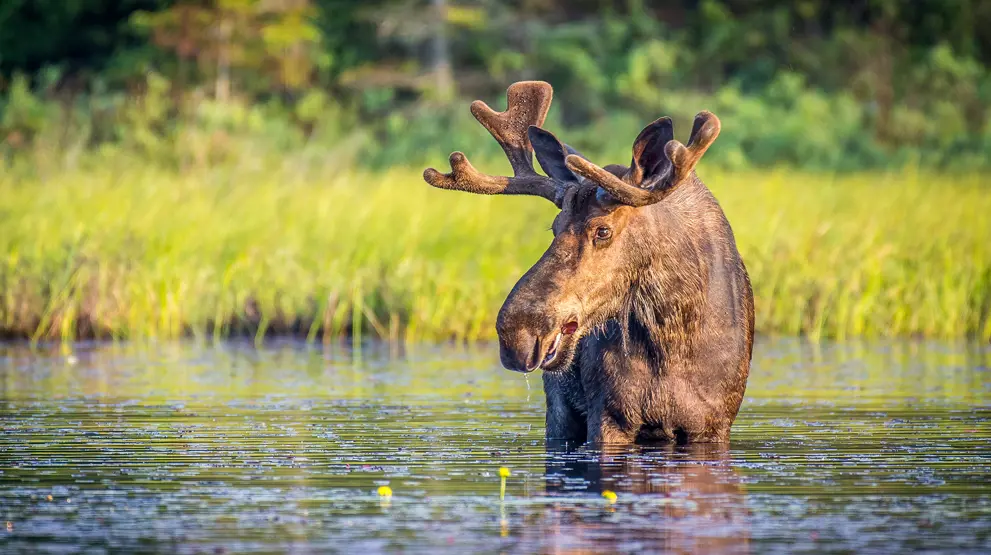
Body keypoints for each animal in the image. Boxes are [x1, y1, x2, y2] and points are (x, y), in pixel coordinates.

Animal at [422, 81, 756, 448]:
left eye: (603, 230)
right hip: (559, 411)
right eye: (554, 227)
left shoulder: (712, 424)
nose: (517, 333)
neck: (674, 335)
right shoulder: (608, 415)